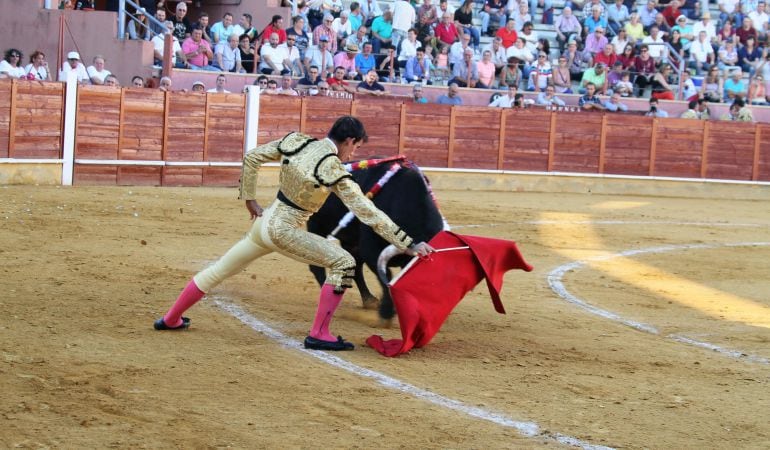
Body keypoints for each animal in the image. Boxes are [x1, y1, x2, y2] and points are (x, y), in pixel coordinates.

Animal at [304, 160, 440, 322]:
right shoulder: (371, 251)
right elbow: (387, 277)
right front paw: (386, 313)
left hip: (351, 242)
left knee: (355, 268)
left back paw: (369, 300)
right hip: (316, 225)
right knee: (317, 265)